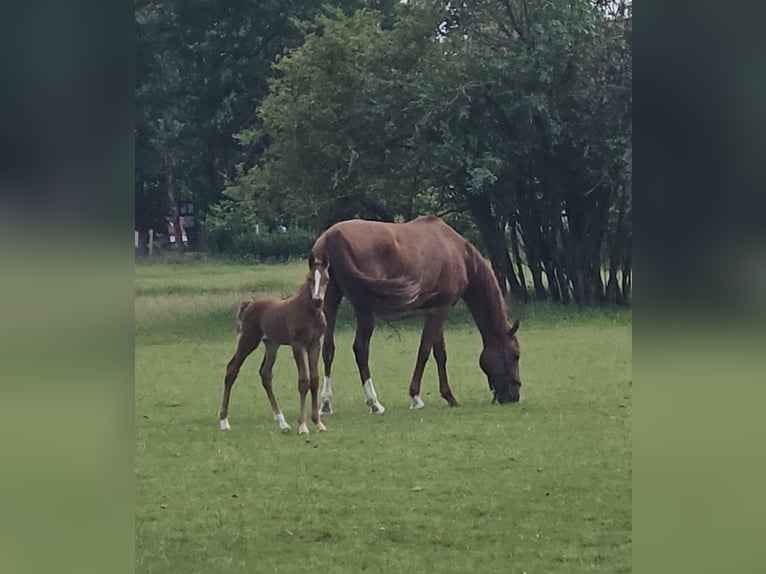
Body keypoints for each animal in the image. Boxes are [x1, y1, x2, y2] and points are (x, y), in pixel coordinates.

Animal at [219, 258, 332, 434]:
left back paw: (282, 422)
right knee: (232, 369)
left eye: (326, 279)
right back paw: (224, 421)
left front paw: (318, 423)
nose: (317, 300)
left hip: (272, 344)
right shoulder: (297, 345)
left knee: (265, 373)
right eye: (309, 279)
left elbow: (314, 380)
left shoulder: (314, 345)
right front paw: (303, 425)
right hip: (248, 341)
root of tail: (250, 304)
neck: (308, 313)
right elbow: (303, 381)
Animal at [310, 216, 520, 414]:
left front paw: (449, 396)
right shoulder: (440, 310)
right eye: (516, 355)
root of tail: (333, 236)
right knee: (361, 349)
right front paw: (416, 398)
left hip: (329, 301)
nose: (514, 396)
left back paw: (326, 403)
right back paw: (374, 402)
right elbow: (425, 351)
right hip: (364, 310)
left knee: (328, 349)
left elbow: (440, 353)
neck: (455, 251)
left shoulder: (436, 310)